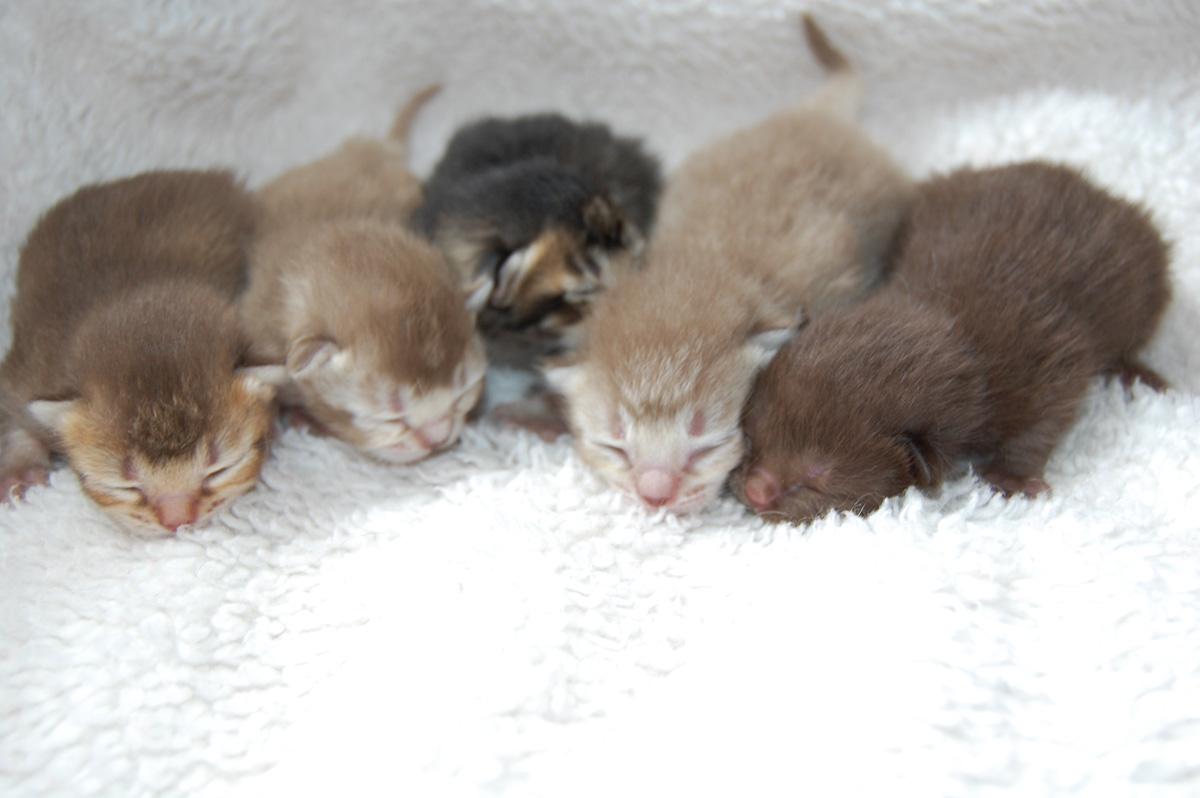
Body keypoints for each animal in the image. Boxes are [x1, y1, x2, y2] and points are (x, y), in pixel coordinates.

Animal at [0, 169, 283, 532]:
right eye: (126, 486)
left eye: (219, 470)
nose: (177, 522)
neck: (136, 288)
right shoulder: (34, 363)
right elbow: (13, 408)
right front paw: (18, 466)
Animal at [734, 160, 1166, 523]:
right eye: (753, 440)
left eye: (815, 479)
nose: (755, 492)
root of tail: (1089, 183)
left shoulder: (1048, 359)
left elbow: (1044, 420)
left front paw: (1011, 477)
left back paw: (1138, 373)